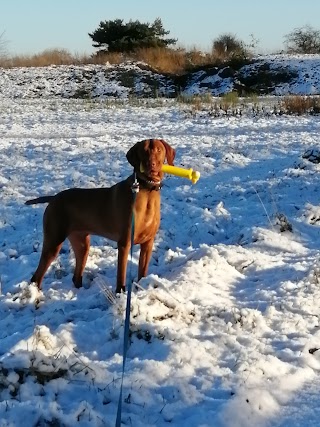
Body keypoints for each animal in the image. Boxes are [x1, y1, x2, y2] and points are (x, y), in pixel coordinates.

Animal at [25, 139, 175, 292]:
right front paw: (120, 293)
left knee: (76, 276)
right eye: (143, 151)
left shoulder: (148, 243)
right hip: (53, 241)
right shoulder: (124, 243)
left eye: (158, 150)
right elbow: (121, 276)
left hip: (82, 243)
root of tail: (53, 198)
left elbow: (142, 273)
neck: (147, 189)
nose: (151, 164)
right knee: (36, 277)